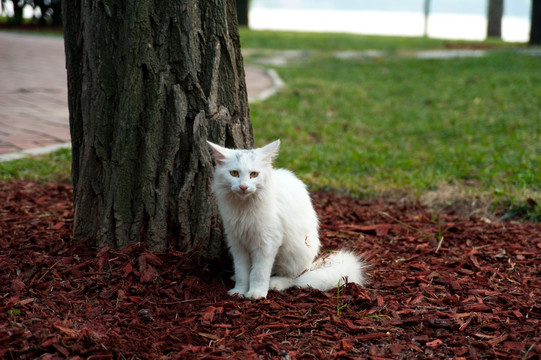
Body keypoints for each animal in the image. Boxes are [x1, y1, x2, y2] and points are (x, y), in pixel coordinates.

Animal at [207, 139, 368, 300]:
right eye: (234, 173)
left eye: (254, 174)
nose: (243, 187)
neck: (243, 208)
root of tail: (310, 265)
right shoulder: (237, 243)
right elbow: (242, 272)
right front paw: (239, 291)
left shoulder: (266, 243)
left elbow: (259, 273)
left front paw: (256, 293)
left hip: (292, 254)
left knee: (295, 278)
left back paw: (275, 283)